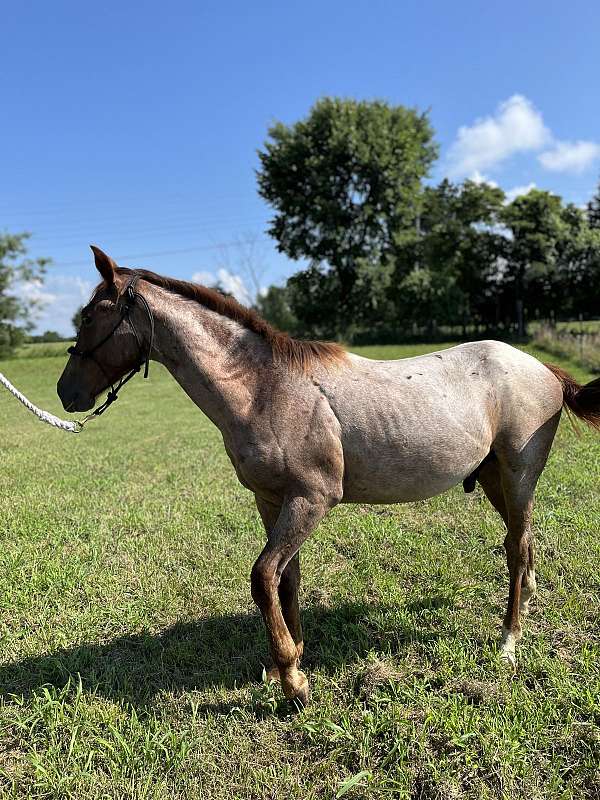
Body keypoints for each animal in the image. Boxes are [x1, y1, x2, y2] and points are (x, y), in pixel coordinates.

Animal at [57, 246, 600, 705]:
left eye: (91, 315)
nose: (66, 393)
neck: (264, 389)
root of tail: (543, 368)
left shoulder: (312, 499)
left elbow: (262, 578)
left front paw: (292, 682)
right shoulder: (272, 501)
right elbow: (286, 580)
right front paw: (292, 660)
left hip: (518, 473)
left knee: (516, 547)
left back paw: (508, 640)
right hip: (491, 477)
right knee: (521, 541)